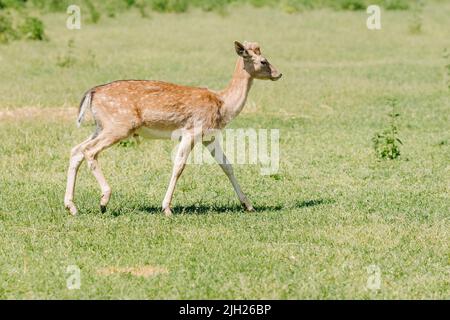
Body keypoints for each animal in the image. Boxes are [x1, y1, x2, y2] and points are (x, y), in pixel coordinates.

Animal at [64, 40, 282, 215]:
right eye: (263, 61)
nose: (279, 74)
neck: (223, 104)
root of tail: (91, 93)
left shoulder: (209, 136)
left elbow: (227, 165)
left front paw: (248, 205)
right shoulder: (192, 130)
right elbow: (179, 166)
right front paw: (166, 208)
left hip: (101, 126)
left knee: (76, 149)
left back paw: (72, 207)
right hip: (119, 126)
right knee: (89, 151)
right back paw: (103, 200)